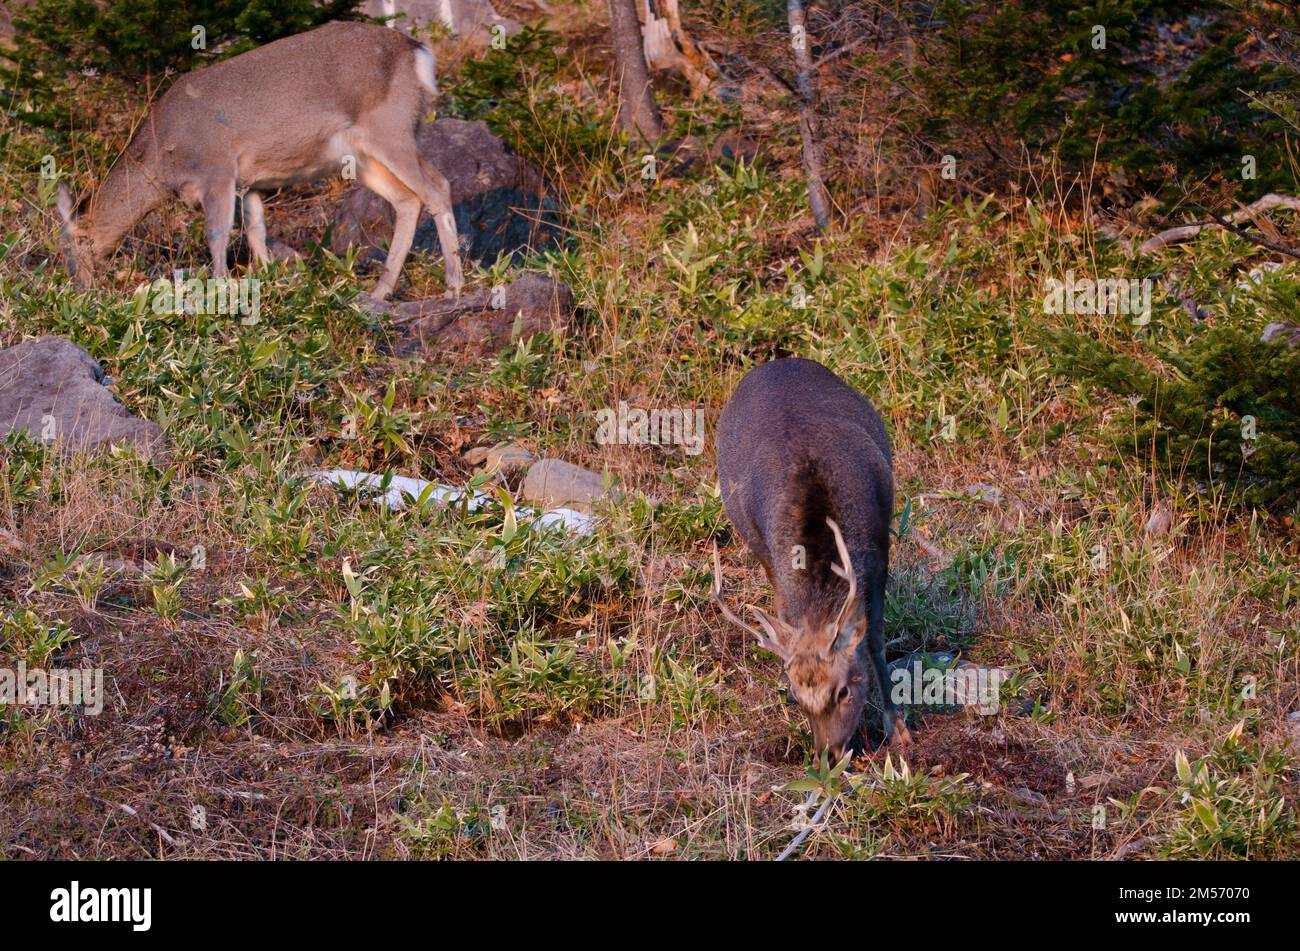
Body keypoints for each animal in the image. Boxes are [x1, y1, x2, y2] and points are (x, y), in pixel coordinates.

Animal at [54, 19, 462, 301]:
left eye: (72, 248)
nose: (81, 290)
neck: (163, 159)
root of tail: (418, 52)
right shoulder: (249, 181)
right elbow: (256, 232)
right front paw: (268, 281)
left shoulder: (217, 168)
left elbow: (217, 234)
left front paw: (218, 289)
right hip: (362, 158)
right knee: (407, 199)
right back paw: (379, 291)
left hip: (391, 129)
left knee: (438, 186)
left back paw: (453, 287)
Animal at [712, 353, 915, 763]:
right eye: (796, 698)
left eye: (844, 689)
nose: (829, 755)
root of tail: (778, 362)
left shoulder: (880, 548)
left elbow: (875, 639)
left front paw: (898, 730)